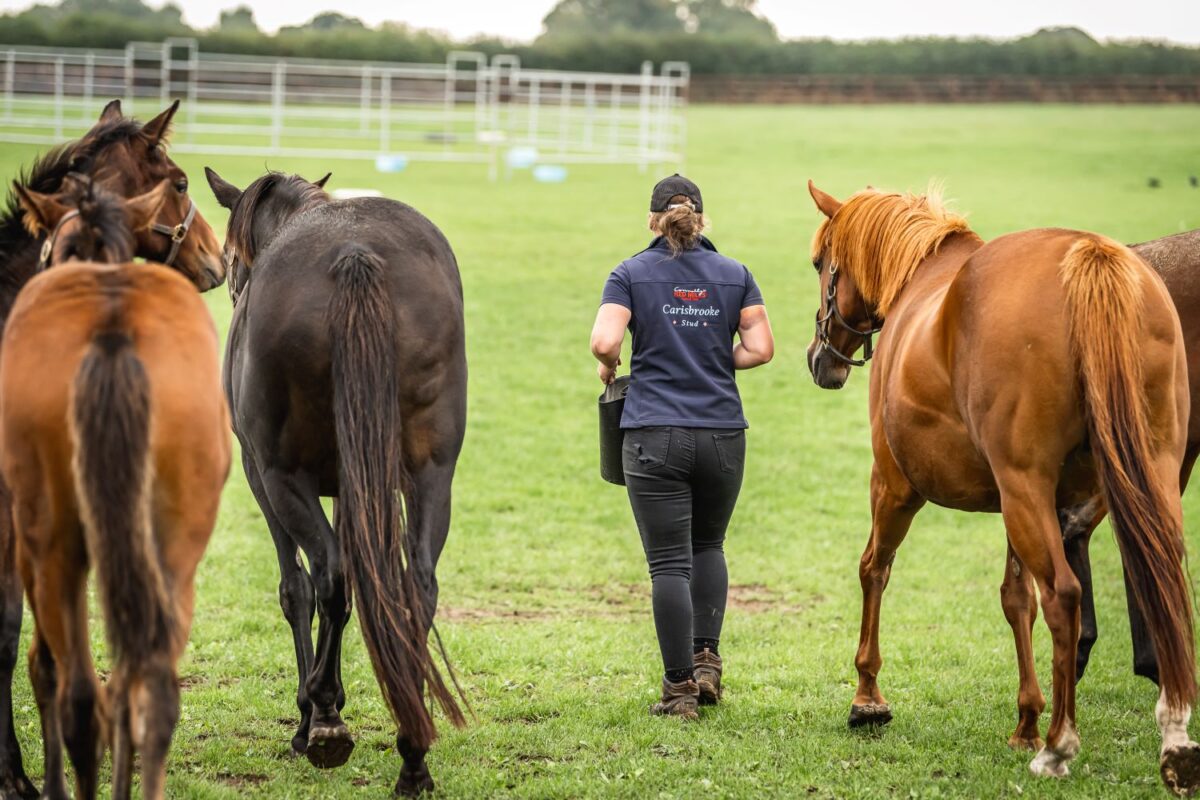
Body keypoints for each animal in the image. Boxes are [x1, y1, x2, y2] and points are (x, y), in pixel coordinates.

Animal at [203, 167, 467, 795]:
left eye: (231, 256)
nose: (231, 286)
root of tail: (354, 251)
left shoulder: (261, 477)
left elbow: (297, 588)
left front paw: (310, 716)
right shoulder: (356, 487)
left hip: (281, 478)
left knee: (329, 573)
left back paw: (323, 719)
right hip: (430, 475)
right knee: (415, 583)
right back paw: (412, 752)